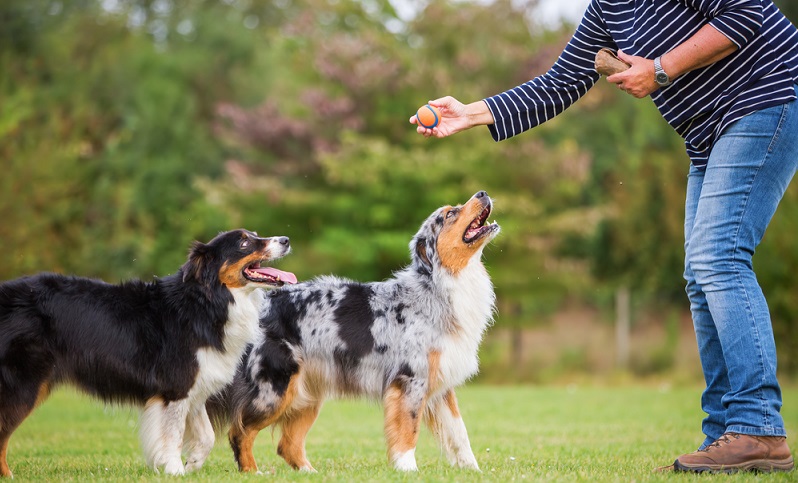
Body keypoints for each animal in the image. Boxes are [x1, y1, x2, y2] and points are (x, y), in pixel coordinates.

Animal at [0, 230, 296, 476]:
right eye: (244, 243)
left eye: (255, 234)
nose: (285, 240)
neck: (206, 301)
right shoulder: (175, 388)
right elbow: (173, 434)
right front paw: (175, 470)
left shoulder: (195, 386)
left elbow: (207, 436)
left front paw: (193, 463)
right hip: (22, 385)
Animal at [209, 192, 504, 472]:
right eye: (449, 214)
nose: (482, 192)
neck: (438, 286)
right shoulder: (410, 380)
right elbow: (408, 431)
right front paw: (407, 468)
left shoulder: (441, 385)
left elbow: (459, 434)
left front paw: (473, 470)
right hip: (274, 389)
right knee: (240, 431)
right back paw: (252, 471)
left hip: (306, 394)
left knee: (287, 445)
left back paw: (309, 472)